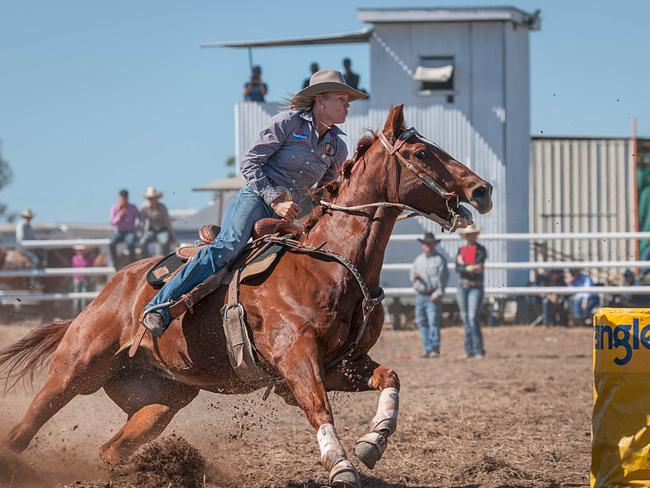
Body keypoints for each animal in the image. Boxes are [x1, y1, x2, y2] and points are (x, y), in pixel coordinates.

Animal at [0, 107, 486, 488]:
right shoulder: (296, 358)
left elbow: (391, 379)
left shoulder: (343, 364)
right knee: (26, 428)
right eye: (421, 154)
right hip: (76, 368)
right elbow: (319, 409)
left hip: (162, 400)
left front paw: (371, 445)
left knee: (112, 448)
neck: (331, 263)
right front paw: (341, 467)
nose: (482, 189)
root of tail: (108, 292)